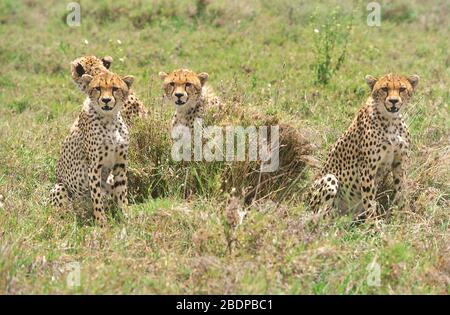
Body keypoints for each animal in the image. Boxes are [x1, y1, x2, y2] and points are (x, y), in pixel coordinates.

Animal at [49, 73, 134, 226]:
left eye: (115, 88)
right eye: (98, 88)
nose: (106, 100)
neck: (109, 118)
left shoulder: (120, 164)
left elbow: (122, 192)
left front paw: (126, 216)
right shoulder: (94, 167)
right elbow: (97, 197)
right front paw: (101, 223)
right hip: (61, 188)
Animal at [308, 73, 420, 220]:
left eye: (402, 89)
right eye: (384, 89)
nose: (394, 101)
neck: (391, 120)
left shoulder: (399, 163)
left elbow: (402, 190)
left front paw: (405, 214)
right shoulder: (367, 168)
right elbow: (369, 200)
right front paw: (374, 223)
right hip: (328, 180)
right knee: (320, 215)